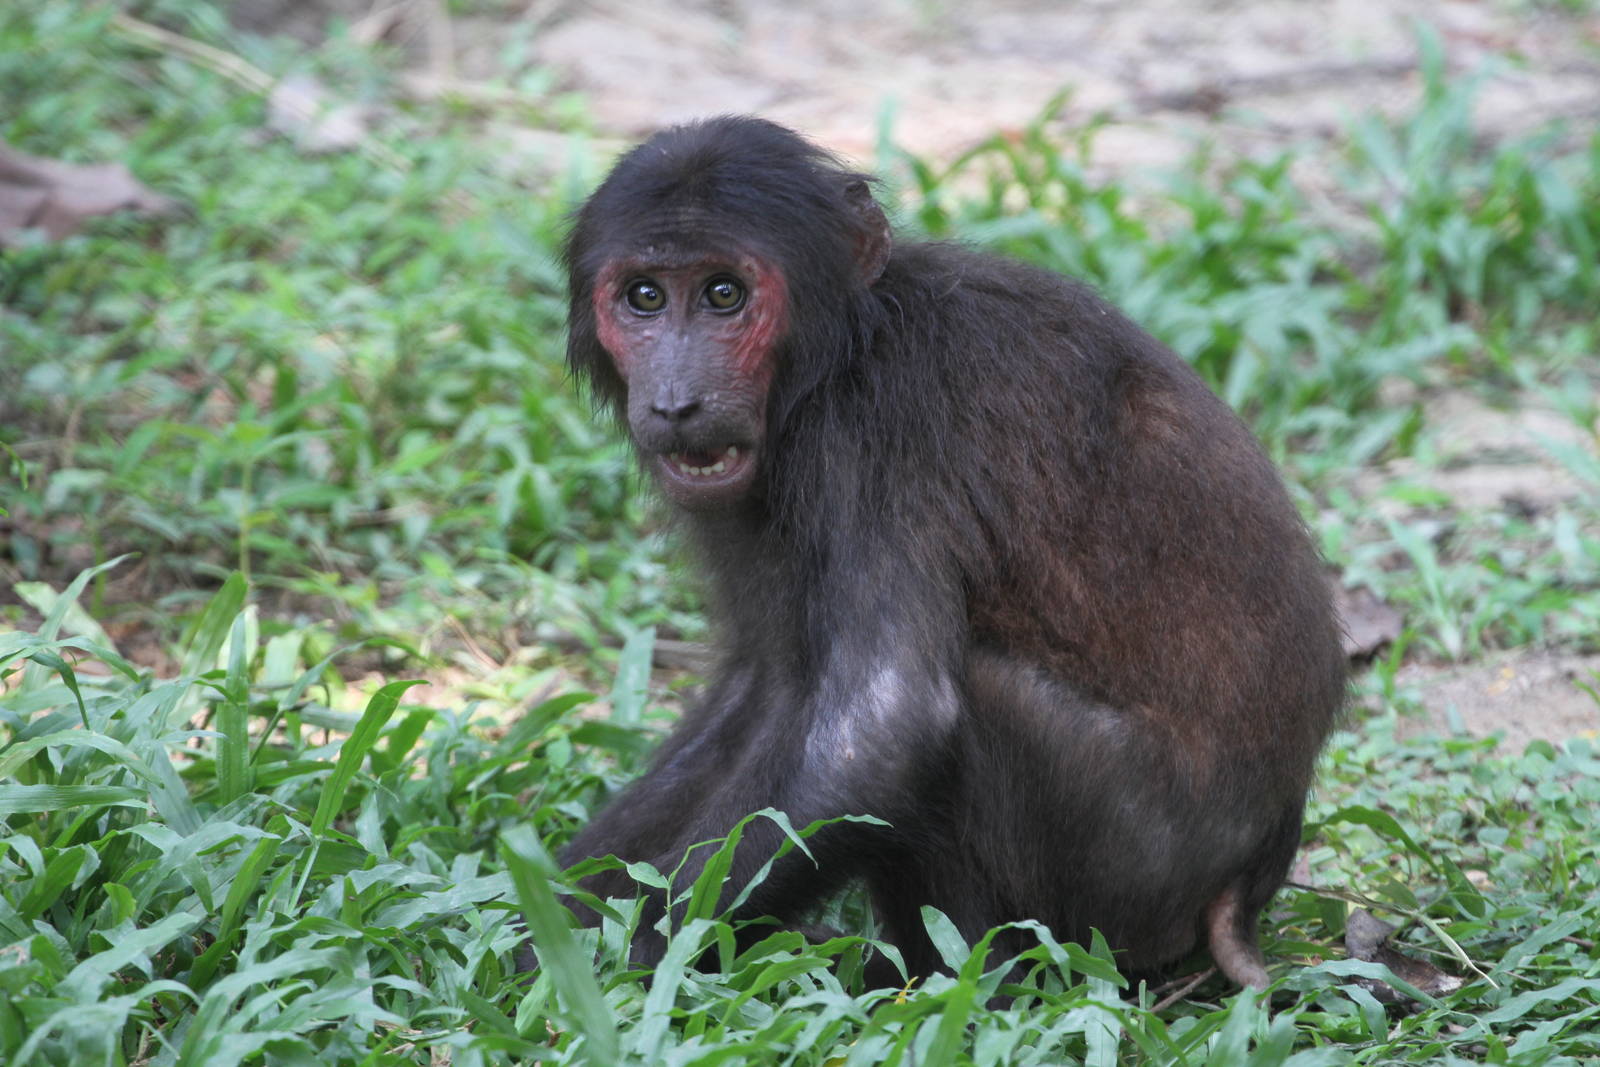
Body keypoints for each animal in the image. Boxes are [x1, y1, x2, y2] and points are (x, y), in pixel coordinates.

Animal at [552, 115, 1346, 990]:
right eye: (645, 297)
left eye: (725, 294)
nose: (675, 397)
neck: (842, 351)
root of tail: (1245, 891)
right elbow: (770, 690)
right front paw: (550, 914)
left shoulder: (874, 436)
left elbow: (881, 725)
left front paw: (617, 961)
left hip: (1140, 869)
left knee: (977, 702)